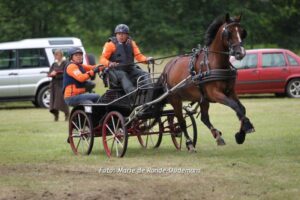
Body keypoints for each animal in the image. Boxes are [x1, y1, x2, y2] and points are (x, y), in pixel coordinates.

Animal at [158, 13, 254, 152]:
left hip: (202, 98)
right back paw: (190, 144)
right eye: (229, 33)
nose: (240, 53)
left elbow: (241, 108)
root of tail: (167, 68)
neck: (215, 63)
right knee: (181, 122)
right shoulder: (216, 94)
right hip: (176, 100)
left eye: (242, 32)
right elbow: (234, 106)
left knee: (204, 117)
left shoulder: (230, 92)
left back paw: (217, 135)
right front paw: (247, 127)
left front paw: (241, 134)